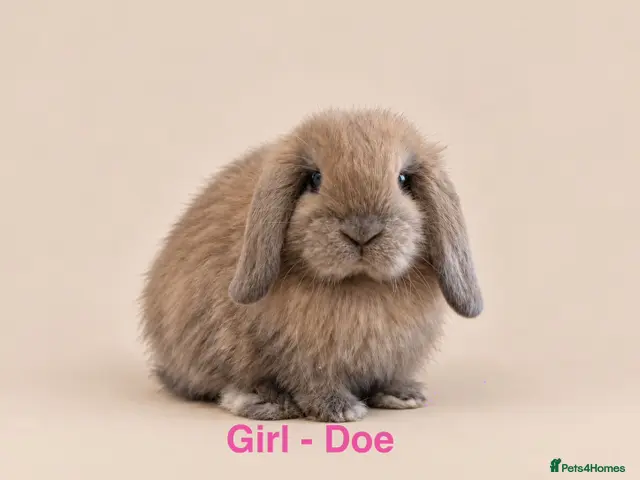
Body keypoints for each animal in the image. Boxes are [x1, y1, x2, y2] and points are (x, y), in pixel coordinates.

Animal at [139, 108, 483, 423]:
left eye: (402, 179)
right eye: (315, 179)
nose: (362, 231)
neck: (358, 283)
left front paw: (402, 395)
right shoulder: (298, 358)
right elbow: (311, 382)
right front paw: (340, 409)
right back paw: (266, 403)